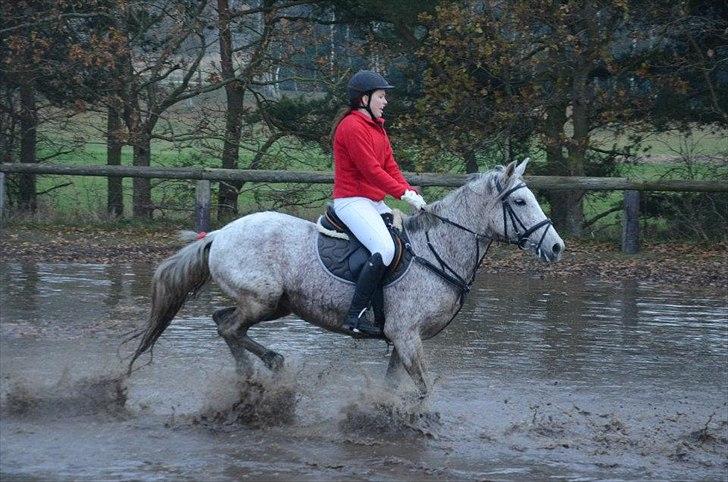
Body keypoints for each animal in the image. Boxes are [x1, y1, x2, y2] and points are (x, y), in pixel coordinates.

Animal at [128, 160, 564, 394]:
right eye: (520, 201)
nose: (557, 247)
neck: (437, 249)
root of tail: (220, 234)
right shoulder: (407, 336)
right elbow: (424, 389)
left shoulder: (401, 338)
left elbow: (395, 386)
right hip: (263, 299)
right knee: (229, 327)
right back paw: (267, 365)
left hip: (276, 304)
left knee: (223, 322)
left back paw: (253, 372)